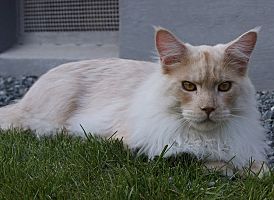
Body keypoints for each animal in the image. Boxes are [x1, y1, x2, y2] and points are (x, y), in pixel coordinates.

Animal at [0, 26, 270, 177]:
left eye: (224, 87)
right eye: (188, 86)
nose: (208, 109)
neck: (207, 137)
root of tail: (22, 99)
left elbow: (259, 167)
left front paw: (257, 172)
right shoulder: (145, 147)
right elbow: (197, 158)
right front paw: (227, 169)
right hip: (54, 120)